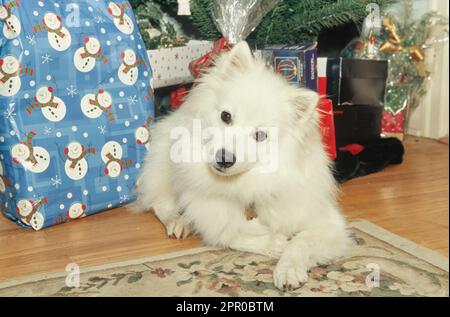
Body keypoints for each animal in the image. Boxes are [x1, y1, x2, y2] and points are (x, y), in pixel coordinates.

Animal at [134, 41, 352, 288]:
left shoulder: (328, 224)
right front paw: (274, 243)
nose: (224, 158)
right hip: (164, 165)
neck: (246, 184)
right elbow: (230, 235)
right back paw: (179, 221)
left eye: (260, 135)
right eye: (226, 116)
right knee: (159, 202)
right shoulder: (212, 220)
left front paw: (288, 269)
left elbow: (300, 243)